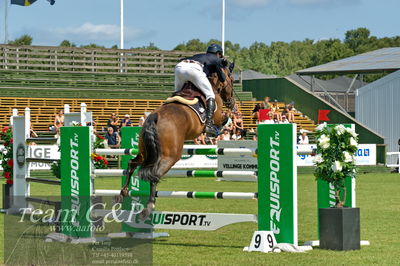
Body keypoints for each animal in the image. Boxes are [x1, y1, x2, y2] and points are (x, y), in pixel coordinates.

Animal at [120, 63, 236, 217]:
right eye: (232, 79)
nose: (232, 102)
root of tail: (154, 117)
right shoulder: (216, 116)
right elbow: (223, 119)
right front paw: (217, 129)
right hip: (171, 156)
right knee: (154, 174)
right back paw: (149, 206)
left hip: (146, 152)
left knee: (132, 163)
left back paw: (123, 193)